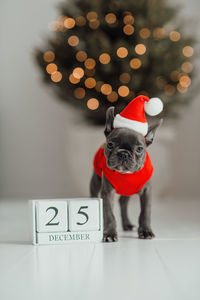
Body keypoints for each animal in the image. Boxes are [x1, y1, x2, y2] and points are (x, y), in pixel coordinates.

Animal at [90, 106, 162, 243]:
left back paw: (127, 224)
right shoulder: (107, 192)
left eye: (139, 149)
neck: (126, 174)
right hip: (95, 181)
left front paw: (145, 231)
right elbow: (109, 214)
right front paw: (110, 233)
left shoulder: (146, 191)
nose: (123, 153)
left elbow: (145, 212)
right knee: (94, 196)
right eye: (110, 144)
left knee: (123, 202)